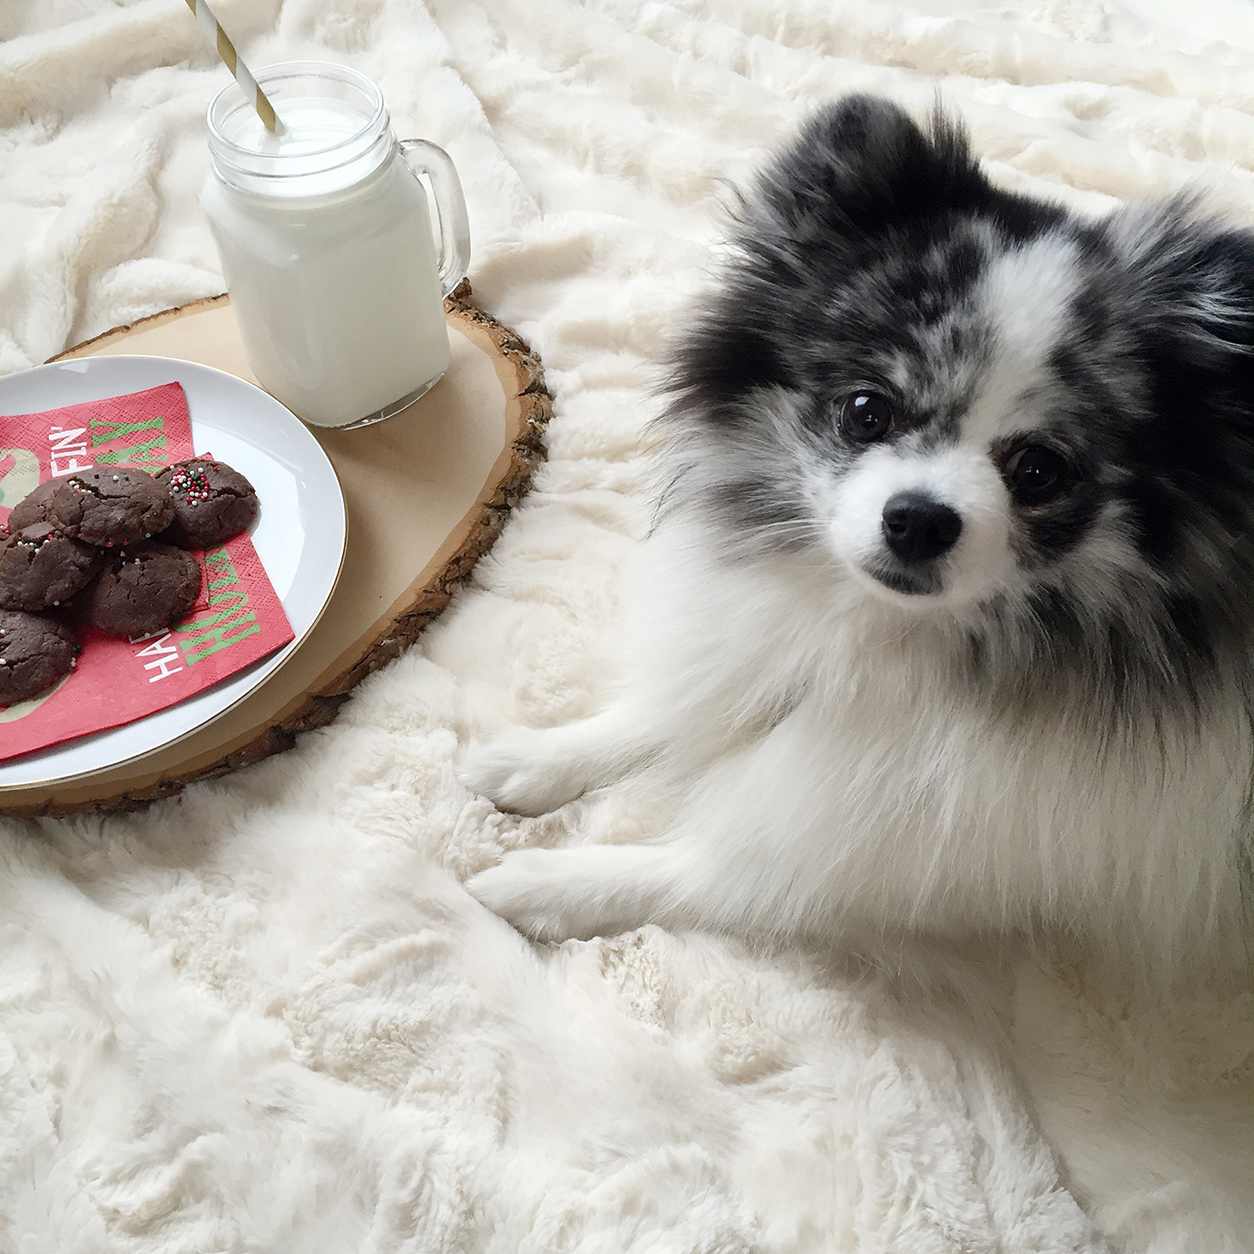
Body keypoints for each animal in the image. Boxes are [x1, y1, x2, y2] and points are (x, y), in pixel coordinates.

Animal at [466, 95, 1254, 978]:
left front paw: (546, 885)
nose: (920, 518)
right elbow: (676, 710)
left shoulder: (891, 844)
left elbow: (703, 873)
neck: (883, 631)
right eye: (867, 410)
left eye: (1039, 471)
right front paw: (537, 759)